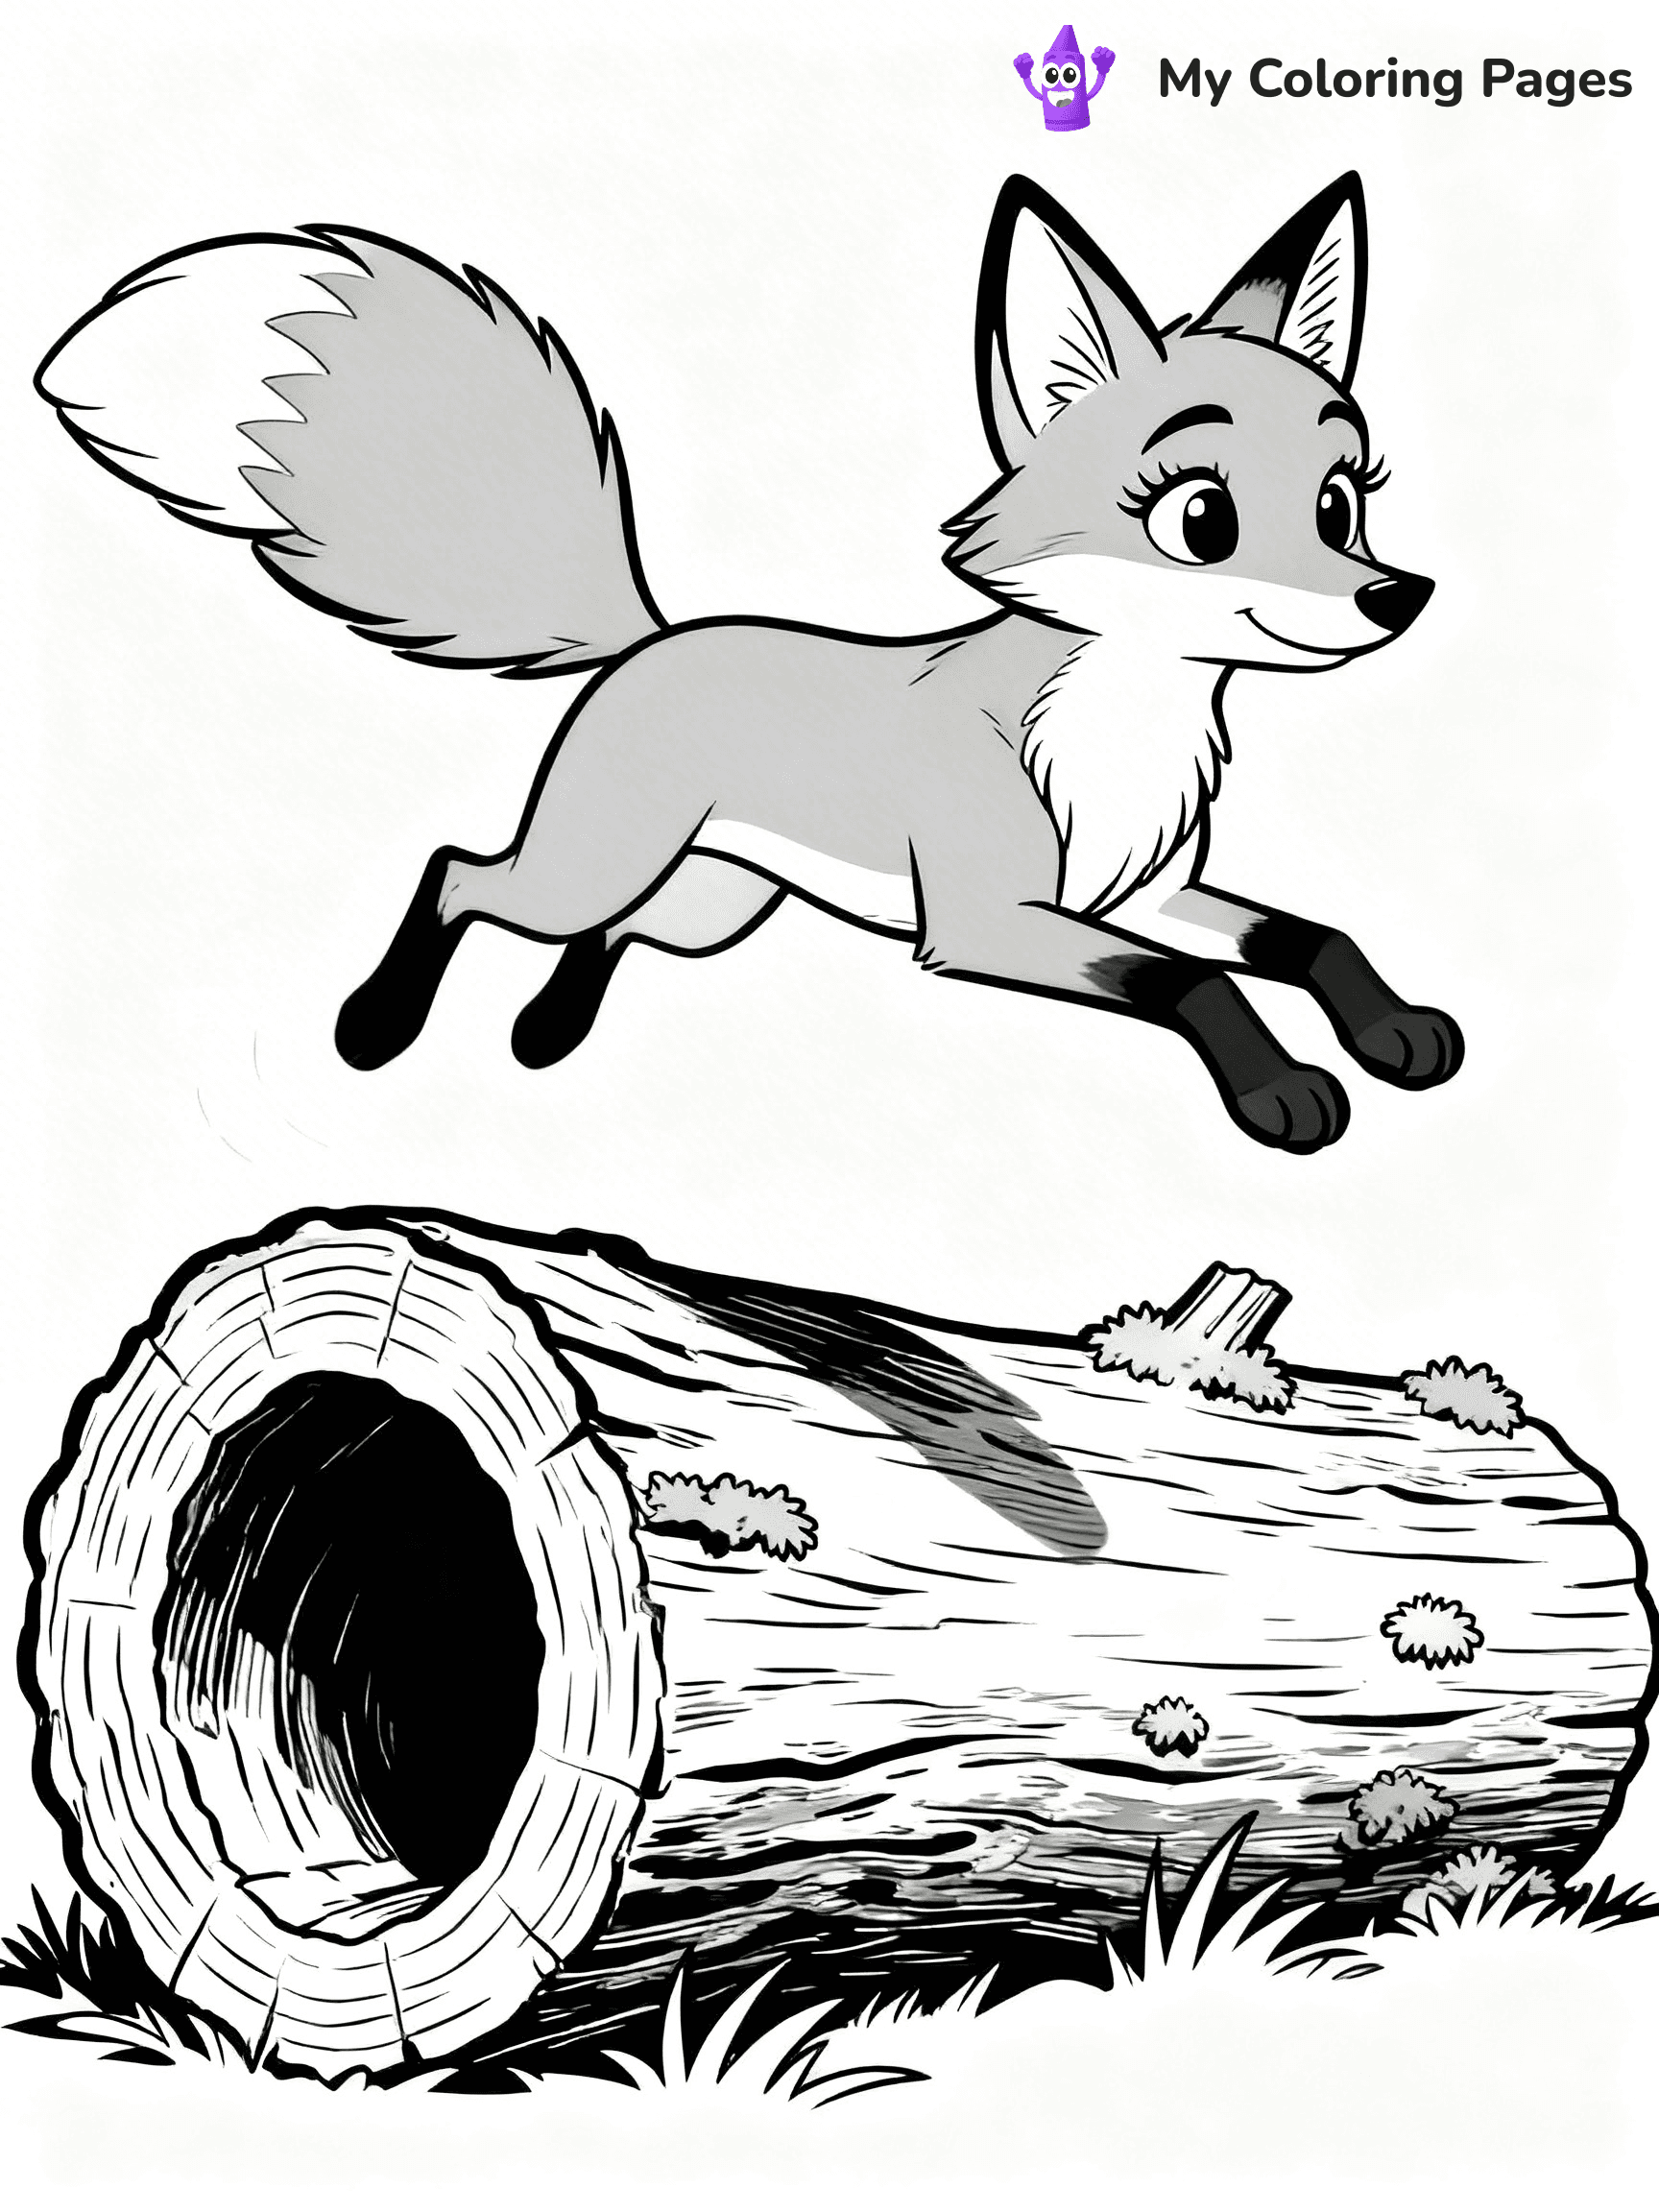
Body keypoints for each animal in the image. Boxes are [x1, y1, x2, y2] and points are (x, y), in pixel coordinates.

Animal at [37, 171, 1460, 1153]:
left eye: (1343, 502)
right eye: (1202, 519)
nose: (1399, 596)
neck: (1120, 731)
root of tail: (656, 635)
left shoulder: (1143, 891)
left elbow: (1309, 939)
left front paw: (1394, 1031)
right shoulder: (989, 923)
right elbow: (1193, 985)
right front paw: (1282, 1089)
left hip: (715, 905)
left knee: (606, 935)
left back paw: (547, 1034)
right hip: (595, 862)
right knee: (460, 875)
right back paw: (378, 1026)